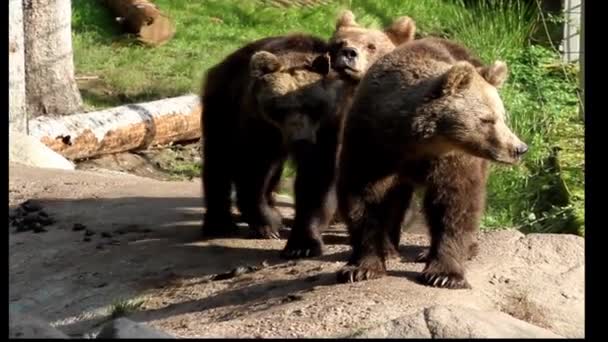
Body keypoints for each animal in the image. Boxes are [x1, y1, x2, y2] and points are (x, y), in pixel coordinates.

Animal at [200, 34, 352, 258]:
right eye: (280, 107)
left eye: (312, 106)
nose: (300, 140)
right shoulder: (257, 124)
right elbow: (252, 170)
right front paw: (267, 223)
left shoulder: (330, 126)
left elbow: (318, 176)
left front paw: (302, 244)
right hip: (222, 105)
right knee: (219, 160)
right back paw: (220, 224)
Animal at [334, 37, 528, 288]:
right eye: (487, 119)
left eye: (502, 117)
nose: (519, 148)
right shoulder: (370, 144)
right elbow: (363, 198)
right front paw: (360, 268)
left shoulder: (451, 158)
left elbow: (454, 203)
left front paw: (444, 274)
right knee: (397, 199)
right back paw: (389, 248)